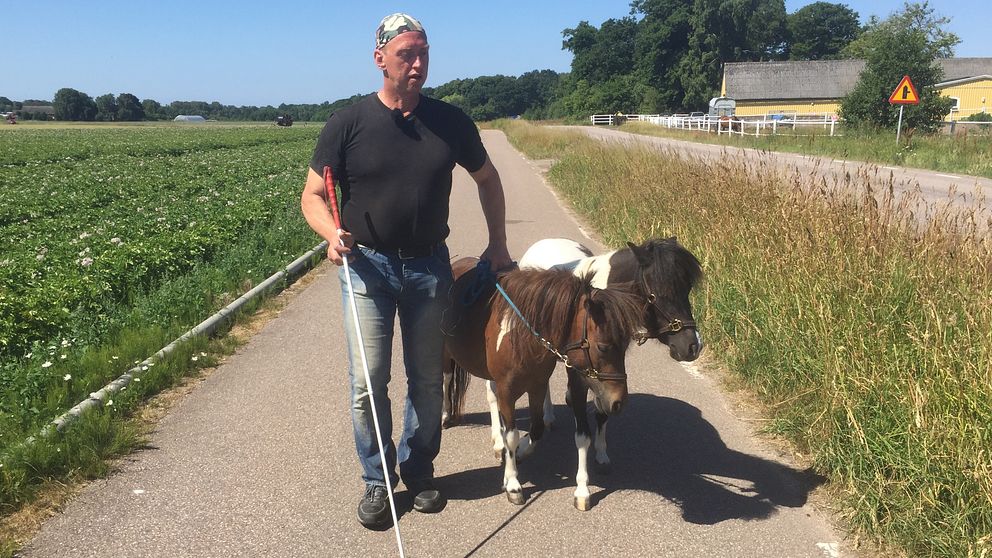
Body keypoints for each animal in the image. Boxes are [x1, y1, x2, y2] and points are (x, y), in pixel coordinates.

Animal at [442, 258, 644, 512]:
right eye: (603, 347)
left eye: (626, 346)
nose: (618, 402)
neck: (521, 334)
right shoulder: (508, 391)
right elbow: (511, 434)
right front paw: (513, 484)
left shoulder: (536, 386)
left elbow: (536, 429)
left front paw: (518, 454)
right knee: (447, 379)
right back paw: (447, 416)